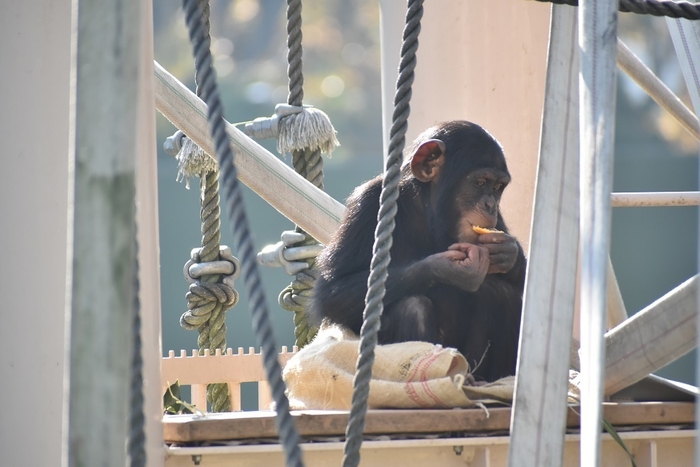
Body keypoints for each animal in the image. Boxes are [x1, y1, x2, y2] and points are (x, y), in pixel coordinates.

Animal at [310, 120, 524, 384]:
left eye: (497, 187)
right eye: (480, 183)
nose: (490, 205)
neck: (428, 209)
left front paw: (507, 252)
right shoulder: (368, 203)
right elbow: (333, 290)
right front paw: (444, 268)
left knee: (503, 295)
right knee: (413, 307)